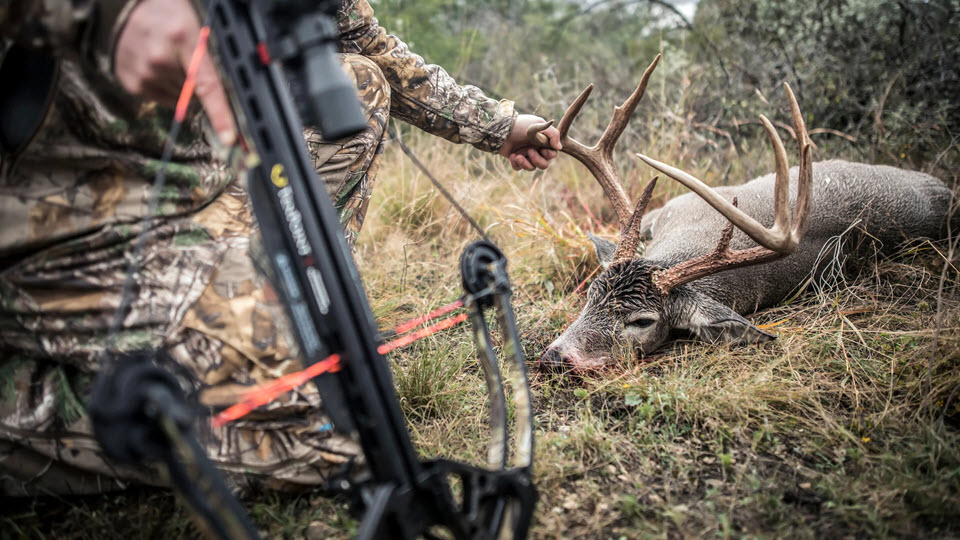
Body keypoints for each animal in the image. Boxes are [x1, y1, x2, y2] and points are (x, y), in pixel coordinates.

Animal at [528, 56, 956, 372]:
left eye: (642, 322)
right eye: (591, 294)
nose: (555, 358)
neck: (686, 241)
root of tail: (945, 189)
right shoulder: (671, 208)